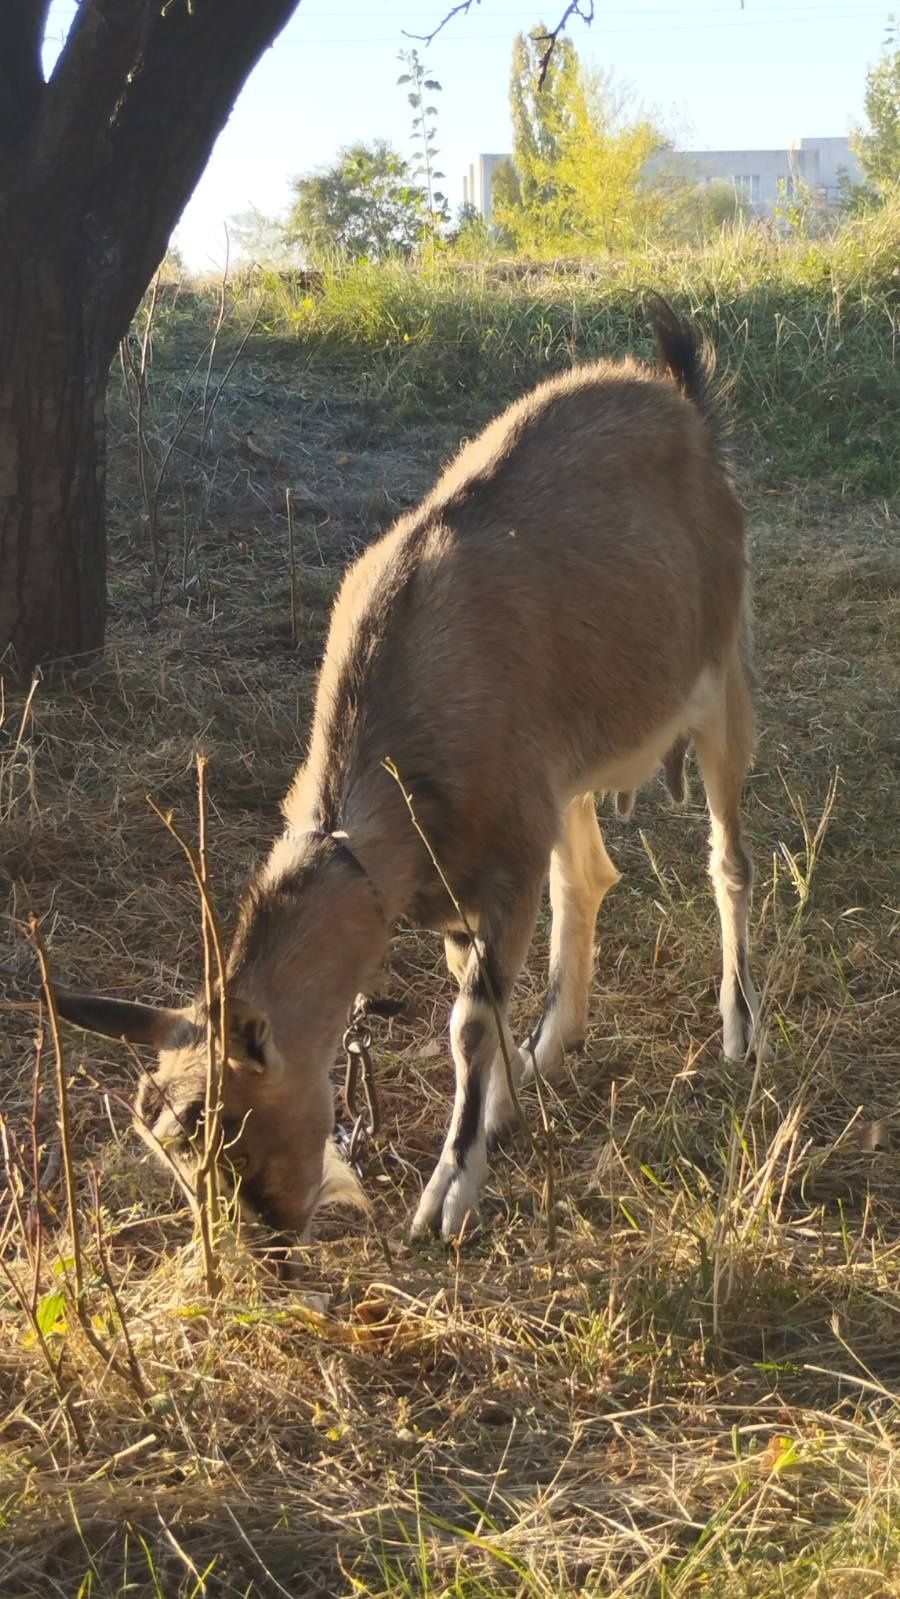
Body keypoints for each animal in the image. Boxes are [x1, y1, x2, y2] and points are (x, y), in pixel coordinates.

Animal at [33, 300, 760, 1247]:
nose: (270, 1230)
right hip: (569, 775)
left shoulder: (506, 865)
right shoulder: (477, 870)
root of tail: (686, 405)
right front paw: (502, 1109)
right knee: (590, 875)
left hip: (721, 672)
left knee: (727, 860)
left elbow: (468, 1026)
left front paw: (452, 1184)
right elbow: (482, 999)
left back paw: (741, 1026)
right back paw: (552, 1043)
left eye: (228, 1127)